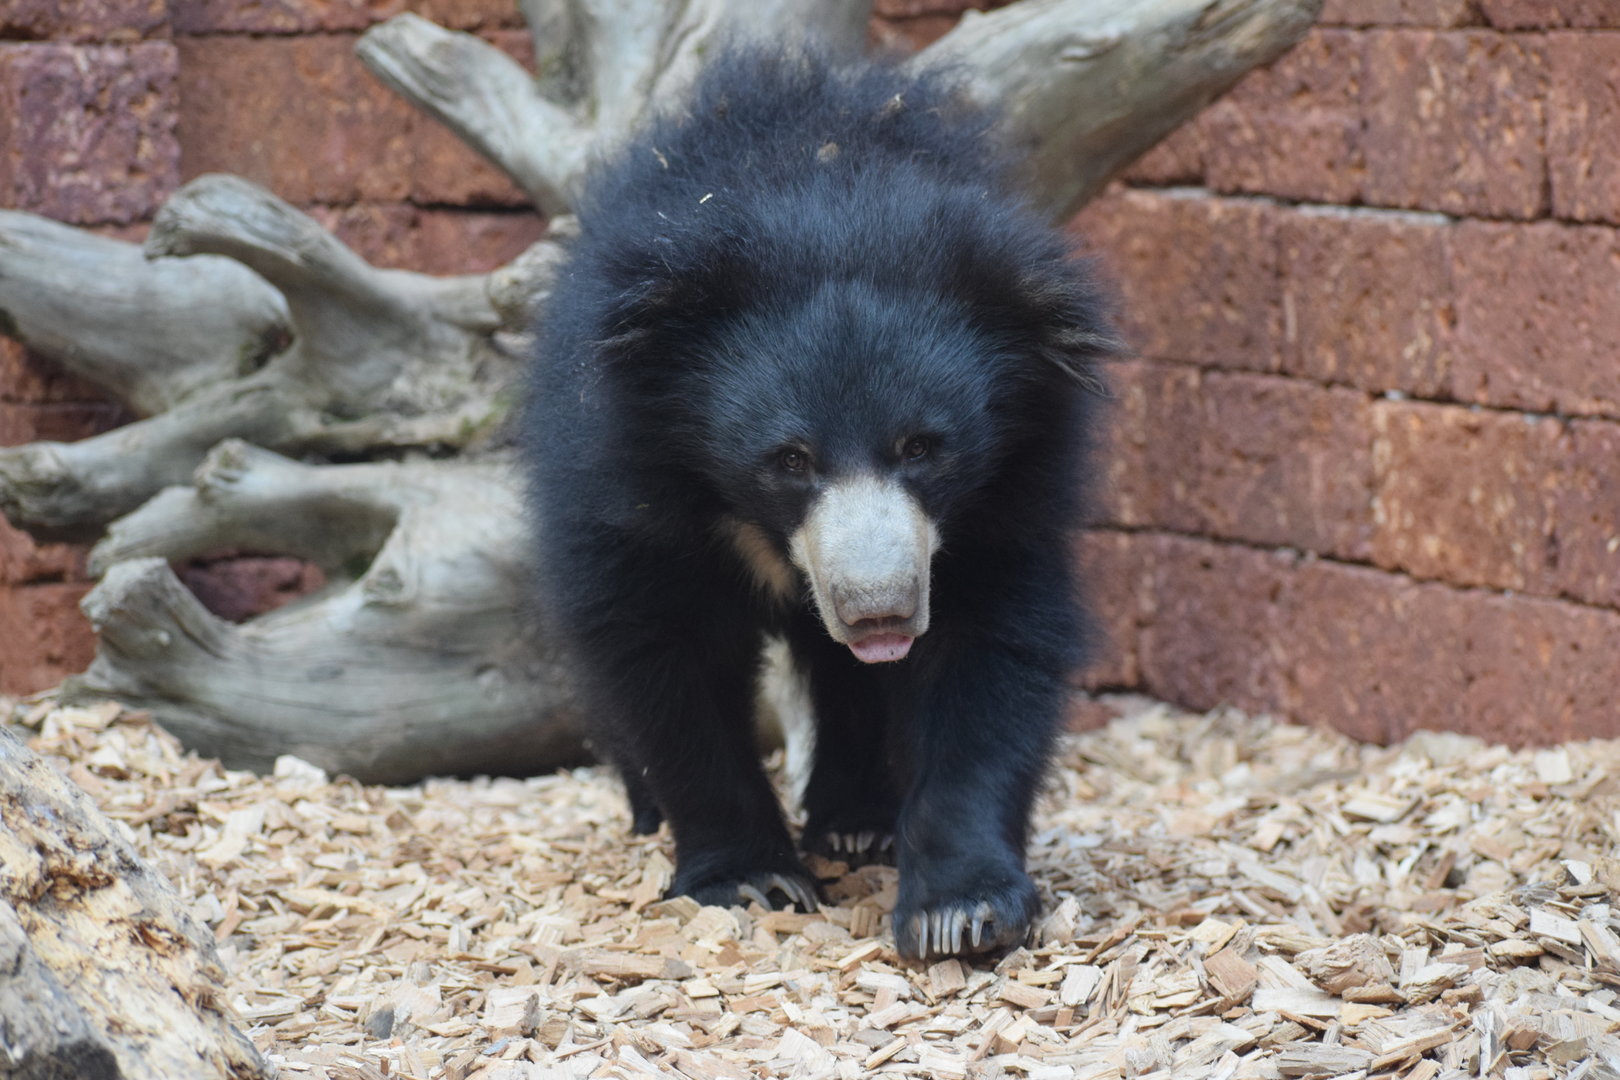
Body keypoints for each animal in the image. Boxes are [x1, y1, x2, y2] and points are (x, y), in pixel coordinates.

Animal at [523, 44, 1118, 960]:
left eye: (923, 448)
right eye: (789, 460)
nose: (881, 611)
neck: (824, 204)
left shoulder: (1010, 493)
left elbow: (990, 648)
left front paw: (962, 908)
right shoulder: (625, 486)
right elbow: (665, 655)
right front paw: (749, 879)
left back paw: (855, 823)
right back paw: (654, 813)